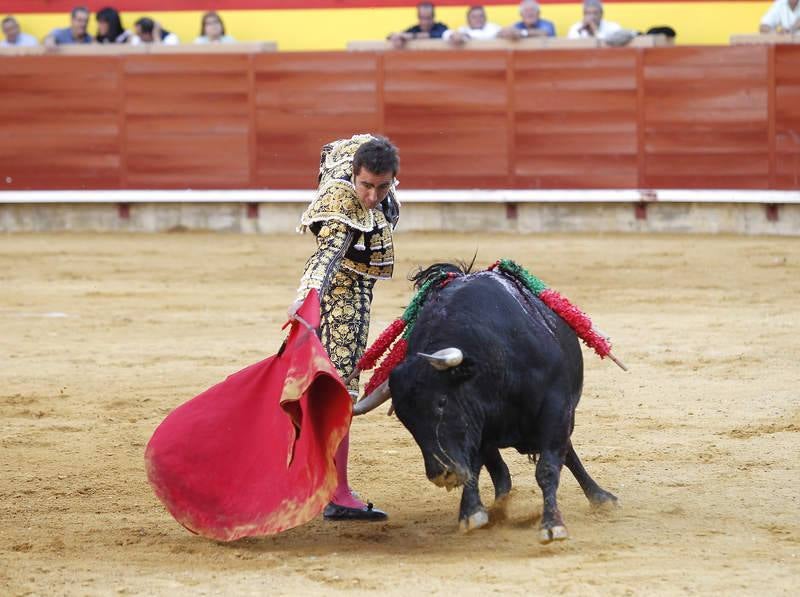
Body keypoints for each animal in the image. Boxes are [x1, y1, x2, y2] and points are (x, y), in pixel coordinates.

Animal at [368, 264, 620, 544]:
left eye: (442, 401)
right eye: (405, 419)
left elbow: (547, 468)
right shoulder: (477, 427)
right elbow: (483, 469)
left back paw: (601, 498)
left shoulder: (556, 410)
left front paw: (552, 525)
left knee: (564, 454)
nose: (442, 474)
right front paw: (473, 513)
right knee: (498, 473)